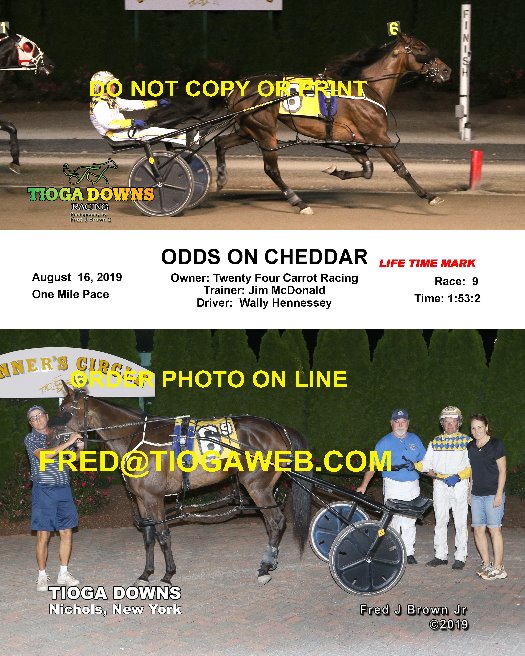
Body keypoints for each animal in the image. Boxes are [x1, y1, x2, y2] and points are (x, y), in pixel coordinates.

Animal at [55, 384, 313, 586]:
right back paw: (269, 561)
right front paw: (146, 574)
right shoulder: (141, 499)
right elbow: (148, 536)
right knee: (271, 523)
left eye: (66, 411)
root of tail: (278, 427)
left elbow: (163, 535)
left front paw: (168, 574)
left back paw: (264, 568)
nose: (52, 436)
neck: (136, 437)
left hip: (257, 486)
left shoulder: (154, 497)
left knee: (276, 521)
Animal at [214, 33, 451, 214]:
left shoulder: (351, 139)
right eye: (421, 49)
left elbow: (368, 169)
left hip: (249, 129)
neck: (367, 88)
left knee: (221, 142)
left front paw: (334, 170)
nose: (446, 70)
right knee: (271, 169)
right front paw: (429, 196)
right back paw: (299, 202)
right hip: (264, 131)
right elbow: (400, 169)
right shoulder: (377, 136)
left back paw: (221, 178)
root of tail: (236, 89)